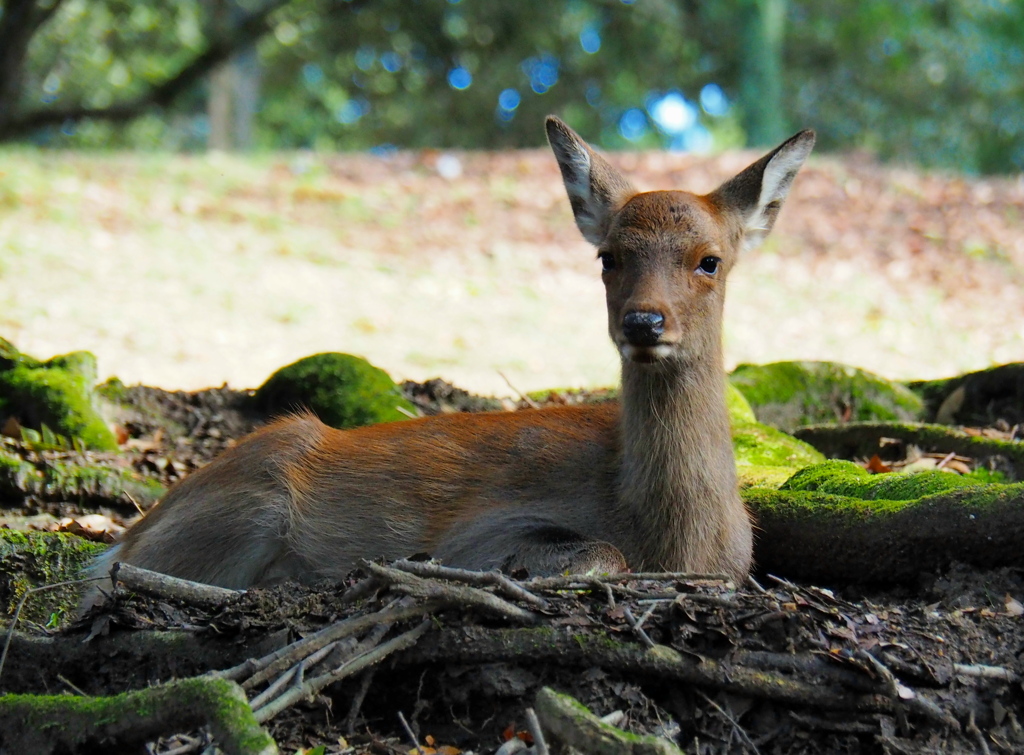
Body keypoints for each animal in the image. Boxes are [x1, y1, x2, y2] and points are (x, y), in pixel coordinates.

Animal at [81, 119, 815, 614]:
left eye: (709, 259)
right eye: (608, 256)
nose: (644, 323)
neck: (685, 540)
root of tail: (118, 541)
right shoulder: (481, 537)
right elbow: (599, 554)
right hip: (247, 507)